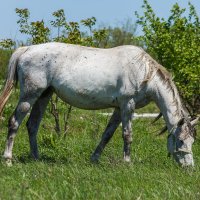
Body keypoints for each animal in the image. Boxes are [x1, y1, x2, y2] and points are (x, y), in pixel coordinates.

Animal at [0, 43, 198, 166]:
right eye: (181, 140)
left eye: (192, 141)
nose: (189, 167)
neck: (144, 72)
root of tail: (26, 49)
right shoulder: (127, 105)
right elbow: (127, 135)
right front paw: (127, 162)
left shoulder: (118, 109)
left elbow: (107, 135)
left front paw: (94, 159)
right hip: (29, 96)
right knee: (14, 123)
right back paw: (8, 159)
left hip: (44, 95)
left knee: (32, 125)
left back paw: (36, 158)